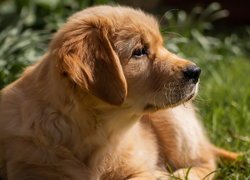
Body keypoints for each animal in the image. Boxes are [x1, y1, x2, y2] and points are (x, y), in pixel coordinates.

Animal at [0, 4, 237, 179]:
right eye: (139, 52)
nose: (196, 71)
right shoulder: (31, 167)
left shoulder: (139, 166)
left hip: (175, 121)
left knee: (205, 161)